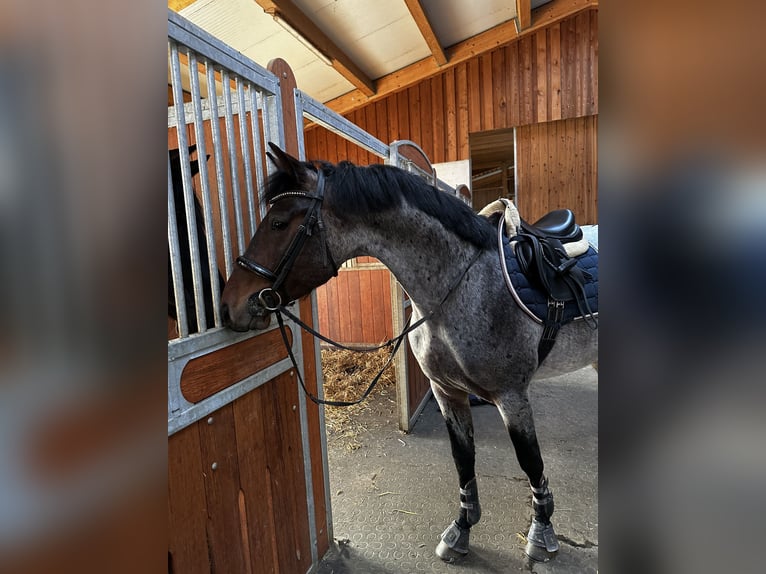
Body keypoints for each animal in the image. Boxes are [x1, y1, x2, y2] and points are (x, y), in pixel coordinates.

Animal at [220, 144, 598, 562]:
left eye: (278, 223)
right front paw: (461, 529)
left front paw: (541, 532)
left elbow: (530, 460)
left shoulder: (511, 396)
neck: (463, 284)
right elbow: (463, 459)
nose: (230, 306)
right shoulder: (446, 391)